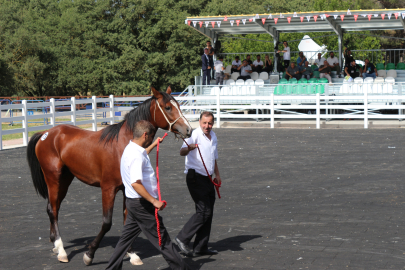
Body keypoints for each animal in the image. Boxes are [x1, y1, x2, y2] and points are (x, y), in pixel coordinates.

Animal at [26, 87, 192, 266]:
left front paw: (131, 254)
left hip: (65, 180)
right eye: (168, 107)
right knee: (53, 210)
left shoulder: (128, 190)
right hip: (53, 179)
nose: (188, 129)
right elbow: (106, 223)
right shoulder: (108, 189)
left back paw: (56, 245)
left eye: (178, 105)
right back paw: (61, 250)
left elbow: (127, 221)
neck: (123, 145)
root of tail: (46, 133)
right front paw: (89, 254)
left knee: (53, 207)